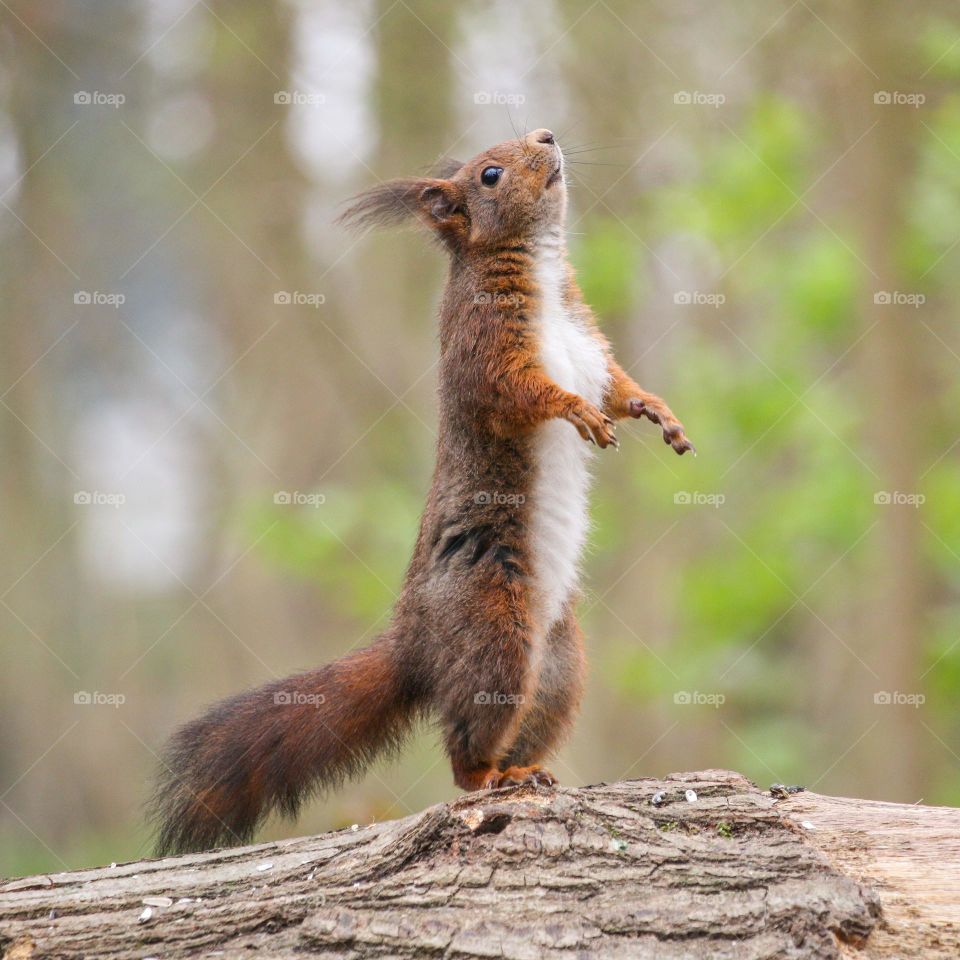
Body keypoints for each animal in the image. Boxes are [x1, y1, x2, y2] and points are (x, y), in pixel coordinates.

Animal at [148, 129, 688, 856]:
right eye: (489, 175)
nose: (547, 136)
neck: (541, 270)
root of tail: (417, 645)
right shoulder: (485, 348)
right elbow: (524, 394)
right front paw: (574, 411)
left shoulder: (590, 347)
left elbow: (619, 389)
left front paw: (660, 414)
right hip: (493, 631)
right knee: (464, 754)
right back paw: (492, 778)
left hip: (558, 665)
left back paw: (526, 769)